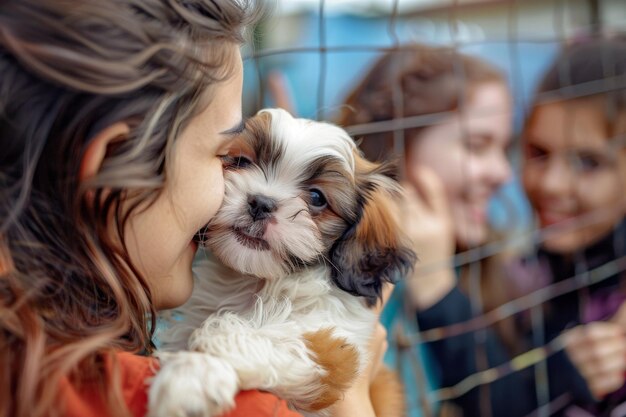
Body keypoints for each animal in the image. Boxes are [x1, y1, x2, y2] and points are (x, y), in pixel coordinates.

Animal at [148, 108, 412, 416]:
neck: (258, 283)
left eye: (317, 198)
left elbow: (245, 334)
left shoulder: (333, 343)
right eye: (241, 161)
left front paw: (193, 374)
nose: (261, 203)